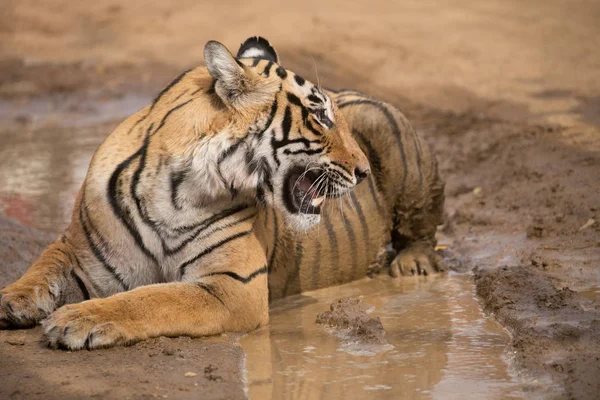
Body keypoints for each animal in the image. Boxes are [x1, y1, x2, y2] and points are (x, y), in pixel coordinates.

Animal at [0, 37, 440, 350]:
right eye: (319, 116)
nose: (363, 171)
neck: (173, 187)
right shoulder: (80, 253)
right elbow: (43, 266)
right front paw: (10, 300)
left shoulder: (232, 285)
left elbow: (150, 299)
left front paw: (77, 319)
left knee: (423, 229)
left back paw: (414, 264)